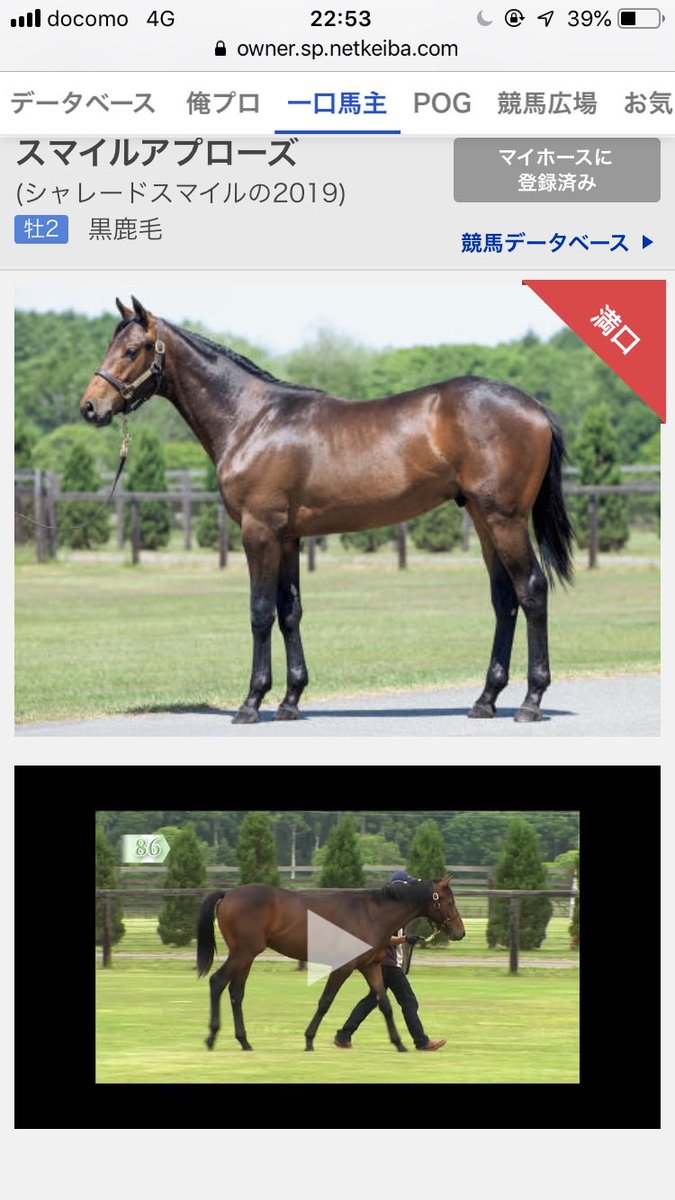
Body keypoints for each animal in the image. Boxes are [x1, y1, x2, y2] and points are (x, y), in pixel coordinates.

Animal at [80, 296, 574, 724]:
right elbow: (289, 611)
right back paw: (486, 699)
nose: (90, 407)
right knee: (504, 599)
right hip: (482, 518)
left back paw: (531, 701)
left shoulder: (259, 532)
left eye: (132, 350)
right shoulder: (288, 537)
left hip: (504, 519)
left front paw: (251, 703)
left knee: (532, 590)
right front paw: (290, 701)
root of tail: (535, 408)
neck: (253, 420)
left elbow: (261, 611)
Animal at [195, 876, 466, 1052]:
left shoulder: (370, 966)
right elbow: (325, 1002)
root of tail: (228, 893)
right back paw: (211, 1037)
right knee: (217, 982)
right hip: (243, 953)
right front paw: (309, 1040)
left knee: (236, 992)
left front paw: (399, 1043)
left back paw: (244, 1041)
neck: (371, 914)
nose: (460, 932)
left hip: (246, 956)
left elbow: (384, 1004)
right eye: (449, 902)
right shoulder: (344, 967)